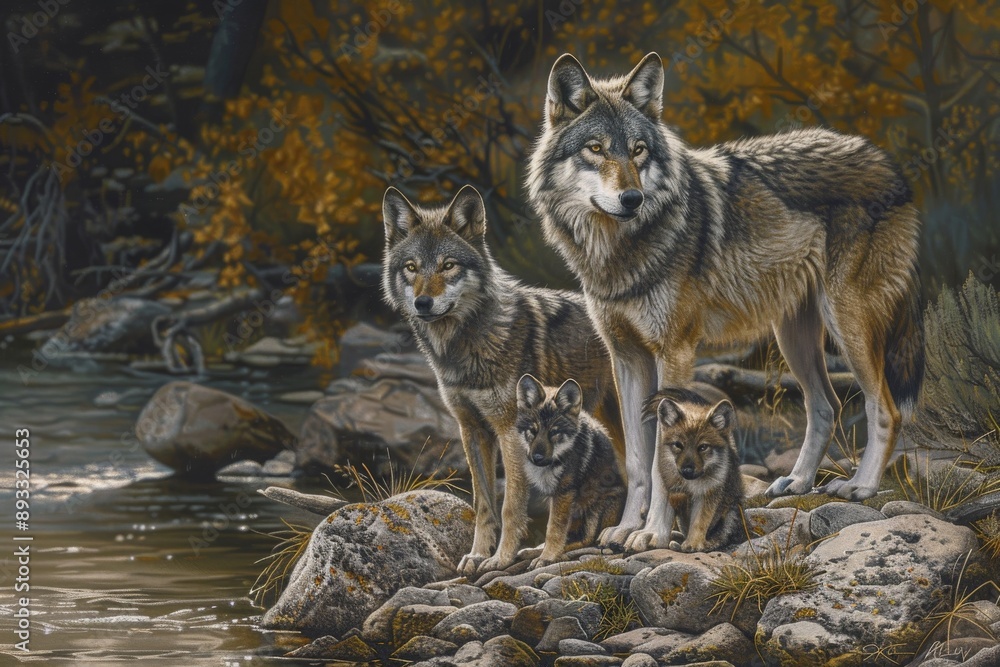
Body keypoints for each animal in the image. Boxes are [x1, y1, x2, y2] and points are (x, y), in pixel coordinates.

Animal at [515, 374, 626, 568]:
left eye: (553, 432)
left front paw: (547, 557)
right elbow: (554, 529)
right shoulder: (555, 497)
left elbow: (554, 530)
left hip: (595, 509)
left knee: (588, 540)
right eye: (533, 431)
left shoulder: (564, 493)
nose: (537, 458)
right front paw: (543, 553)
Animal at [643, 387, 744, 552]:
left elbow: (699, 523)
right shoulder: (673, 488)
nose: (687, 470)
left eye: (703, 447)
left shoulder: (708, 495)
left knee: (721, 536)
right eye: (678, 445)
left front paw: (693, 544)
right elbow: (678, 501)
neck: (691, 485)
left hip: (731, 513)